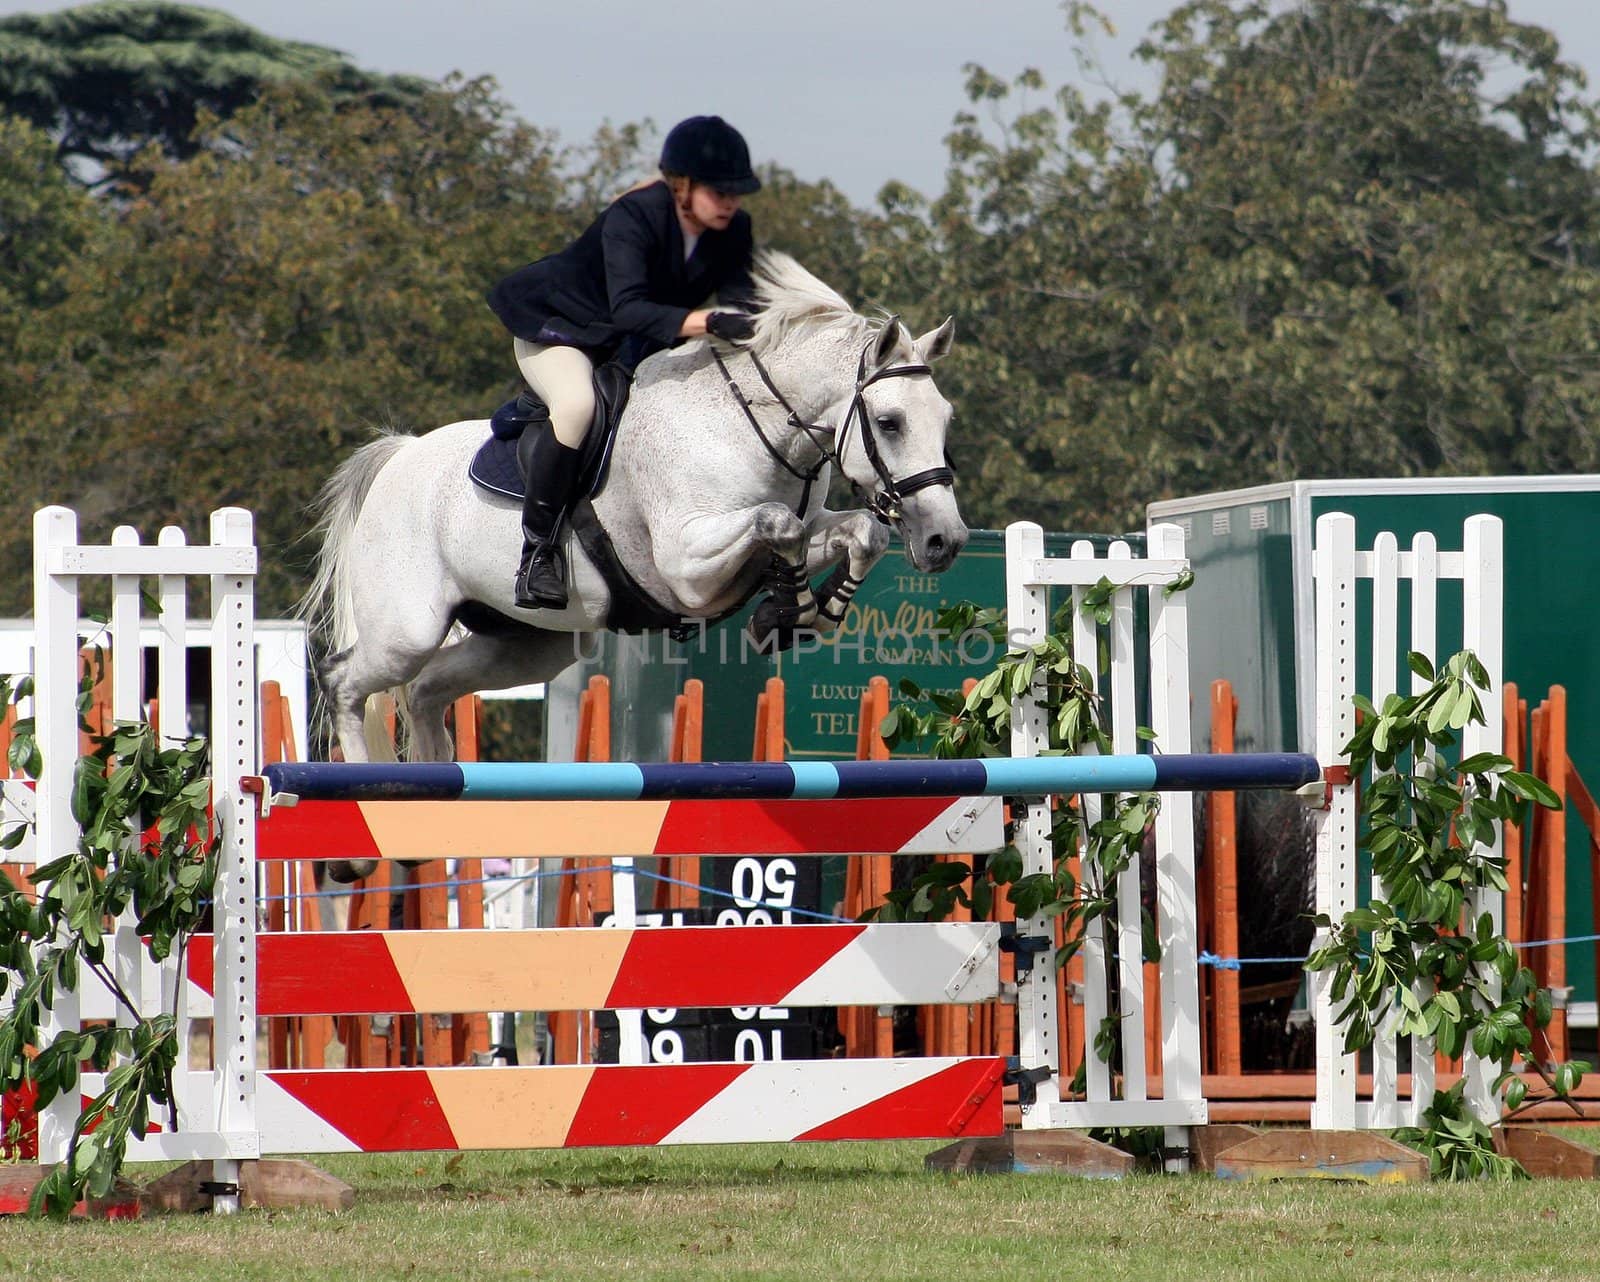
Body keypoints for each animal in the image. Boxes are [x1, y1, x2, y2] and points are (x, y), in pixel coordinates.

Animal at [305, 251, 966, 870]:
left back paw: (422, 821)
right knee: (344, 682)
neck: (751, 426)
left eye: (945, 421)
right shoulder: (686, 567)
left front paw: (804, 613)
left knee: (426, 692)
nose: (946, 541)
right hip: (407, 631)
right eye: (890, 422)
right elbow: (780, 525)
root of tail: (399, 456)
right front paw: (789, 609)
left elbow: (856, 533)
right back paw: (358, 846)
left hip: (525, 645)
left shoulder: (801, 525)